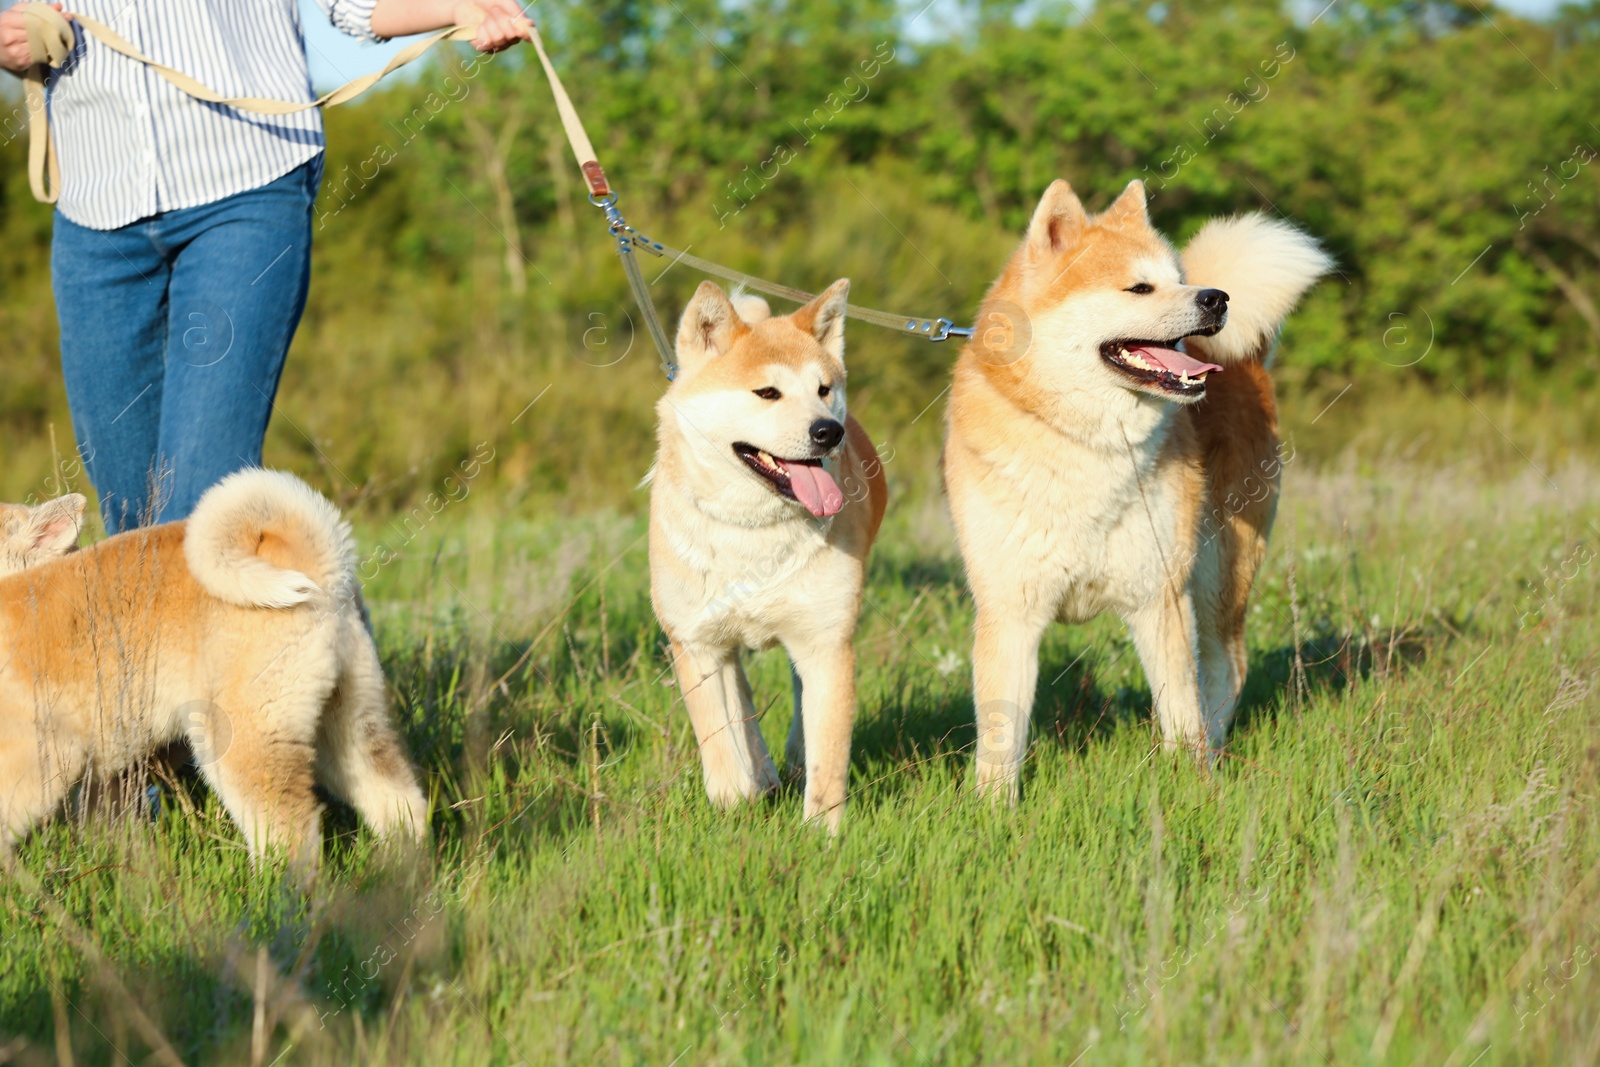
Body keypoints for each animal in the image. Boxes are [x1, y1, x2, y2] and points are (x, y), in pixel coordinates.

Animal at [0, 470, 428, 863]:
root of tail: (318, 564)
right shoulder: (107, 774)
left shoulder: (44, 755)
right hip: (348, 724)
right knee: (400, 801)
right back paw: (402, 875)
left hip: (244, 738)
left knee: (290, 834)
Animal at [656, 279, 896, 831]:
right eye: (767, 393)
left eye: (824, 390)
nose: (829, 431)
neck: (755, 532)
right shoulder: (696, 644)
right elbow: (721, 743)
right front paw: (734, 801)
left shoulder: (826, 642)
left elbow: (828, 755)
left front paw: (821, 833)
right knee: (741, 698)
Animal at [940, 179, 1331, 796]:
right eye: (1139, 287)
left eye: (1177, 277)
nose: (1216, 298)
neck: (1086, 447)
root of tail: (1247, 361)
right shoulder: (1010, 609)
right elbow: (1001, 735)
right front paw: (993, 808)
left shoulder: (1160, 597)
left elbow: (1182, 715)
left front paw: (1193, 789)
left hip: (1217, 578)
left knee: (1225, 673)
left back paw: (1217, 754)